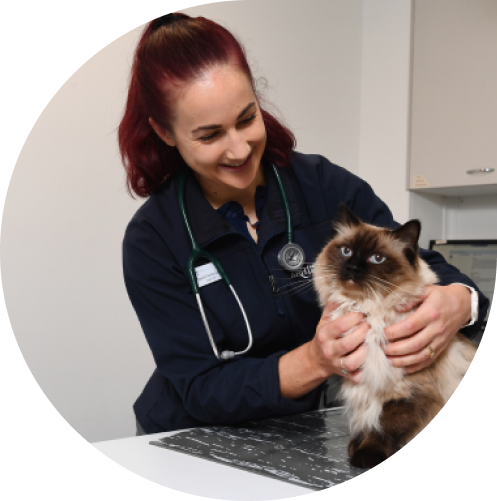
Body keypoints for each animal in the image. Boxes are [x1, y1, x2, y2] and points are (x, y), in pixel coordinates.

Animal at [313, 205, 477, 469]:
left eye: (377, 258)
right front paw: (354, 446)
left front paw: (364, 456)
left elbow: (382, 427)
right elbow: (366, 421)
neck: (369, 310)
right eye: (347, 251)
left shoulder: (407, 392)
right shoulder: (365, 387)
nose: (352, 268)